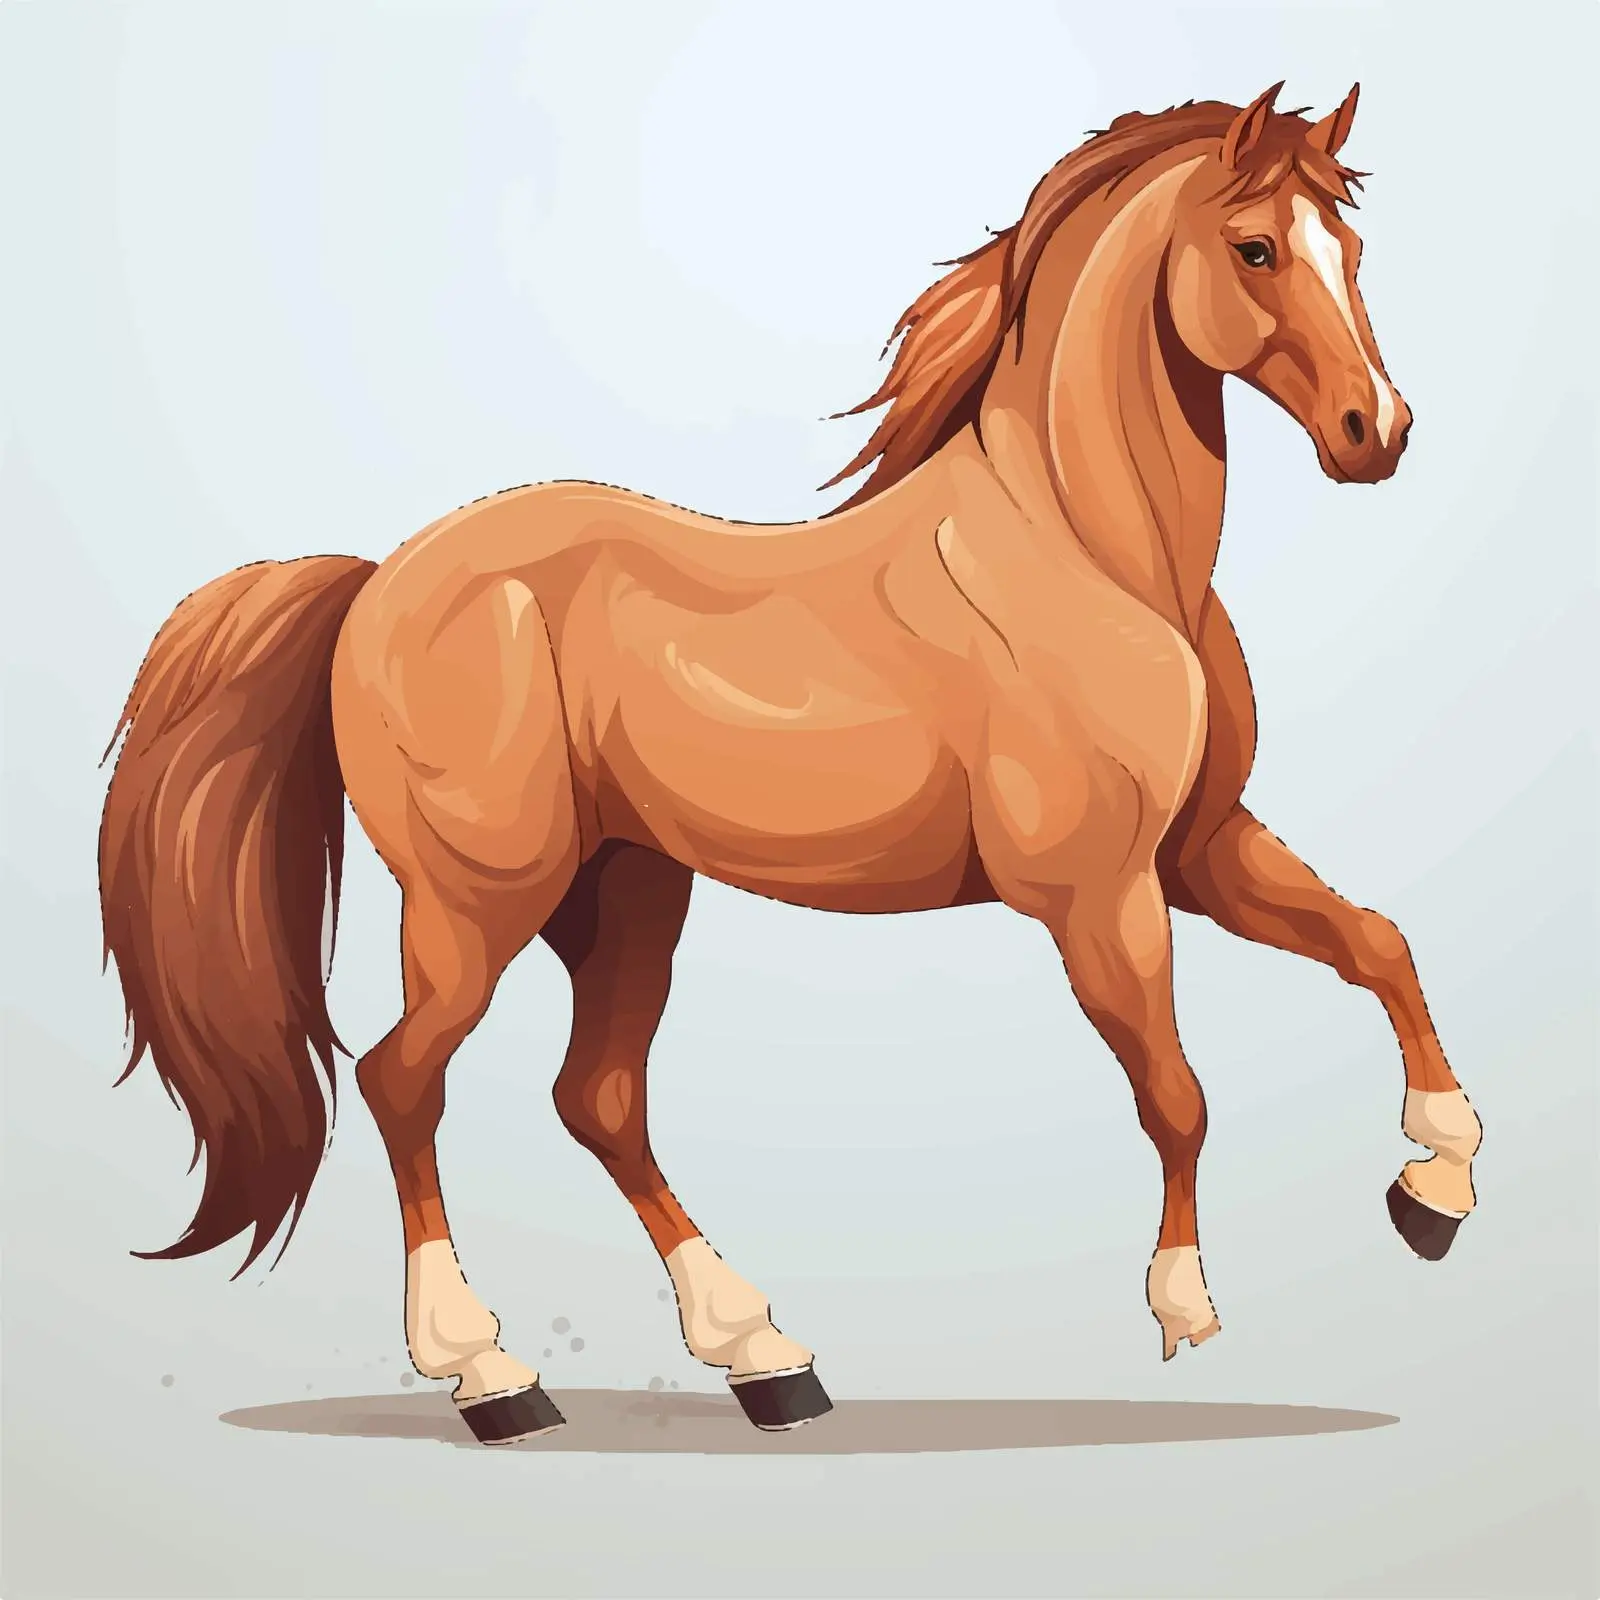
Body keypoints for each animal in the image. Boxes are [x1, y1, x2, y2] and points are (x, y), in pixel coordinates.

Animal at [98, 81, 1483, 1447]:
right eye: (1252, 248)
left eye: (1349, 247)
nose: (1377, 432)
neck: (1092, 554)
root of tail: (376, 581)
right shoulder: (1095, 892)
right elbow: (1176, 1091)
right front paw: (1183, 1304)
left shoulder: (1199, 848)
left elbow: (1377, 944)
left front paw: (1435, 1185)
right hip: (477, 900)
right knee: (402, 1081)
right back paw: (492, 1375)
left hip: (628, 888)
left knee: (596, 1097)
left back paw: (764, 1358)